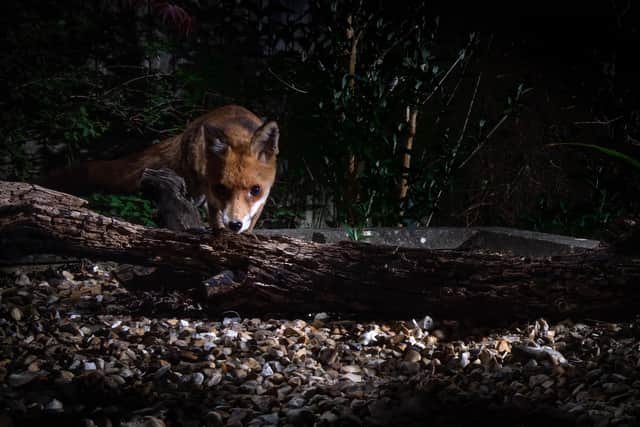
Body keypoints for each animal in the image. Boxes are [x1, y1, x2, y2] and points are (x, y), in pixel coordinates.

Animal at [42, 105, 279, 233]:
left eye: (255, 190)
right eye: (221, 189)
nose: (234, 224)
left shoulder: (262, 200)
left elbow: (250, 222)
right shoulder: (212, 196)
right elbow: (215, 219)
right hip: (194, 186)